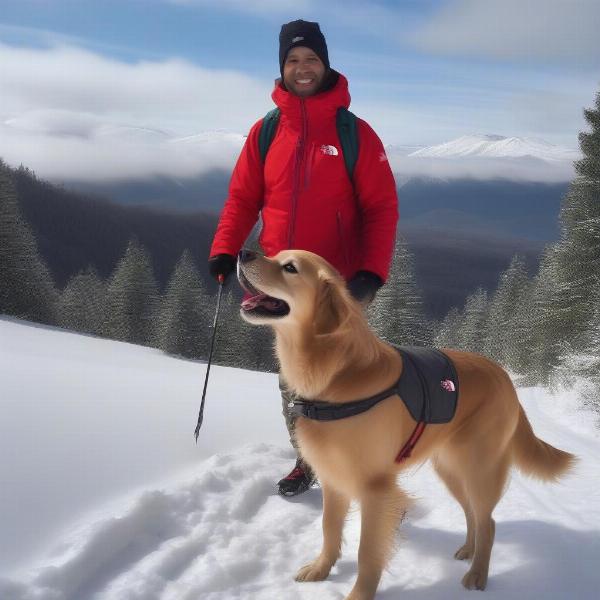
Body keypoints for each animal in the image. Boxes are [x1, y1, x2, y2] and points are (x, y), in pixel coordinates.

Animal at [237, 248, 576, 600]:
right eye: (275, 254)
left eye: (289, 268)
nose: (244, 252)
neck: (338, 373)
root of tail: (505, 377)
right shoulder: (333, 479)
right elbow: (329, 529)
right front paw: (320, 569)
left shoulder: (376, 488)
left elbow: (367, 552)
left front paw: (359, 594)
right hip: (451, 470)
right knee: (472, 514)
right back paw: (468, 551)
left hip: (480, 469)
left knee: (489, 522)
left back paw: (477, 574)